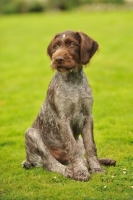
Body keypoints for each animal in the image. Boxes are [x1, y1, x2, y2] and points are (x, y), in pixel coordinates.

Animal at [22, 30, 115, 181]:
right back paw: (69, 171)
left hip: (79, 140)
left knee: (81, 157)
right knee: (51, 164)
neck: (73, 81)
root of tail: (28, 160)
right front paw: (80, 172)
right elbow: (72, 149)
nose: (57, 59)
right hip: (32, 133)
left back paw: (104, 161)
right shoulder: (62, 120)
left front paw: (96, 168)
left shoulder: (88, 117)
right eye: (55, 46)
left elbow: (91, 147)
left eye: (72, 44)